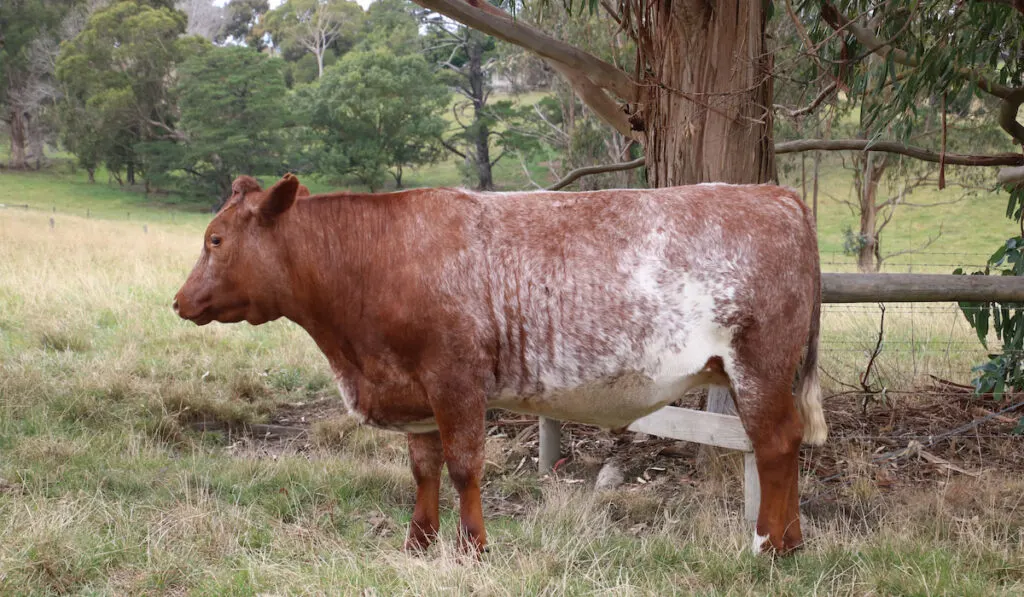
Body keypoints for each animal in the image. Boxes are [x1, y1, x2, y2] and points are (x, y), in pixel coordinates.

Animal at [174, 172, 823, 557]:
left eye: (214, 240)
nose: (180, 301)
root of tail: (778, 194)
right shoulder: (415, 390)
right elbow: (424, 468)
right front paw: (419, 543)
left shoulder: (454, 378)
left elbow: (464, 465)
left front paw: (473, 549)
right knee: (786, 443)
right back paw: (791, 542)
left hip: (759, 363)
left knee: (774, 444)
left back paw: (767, 545)